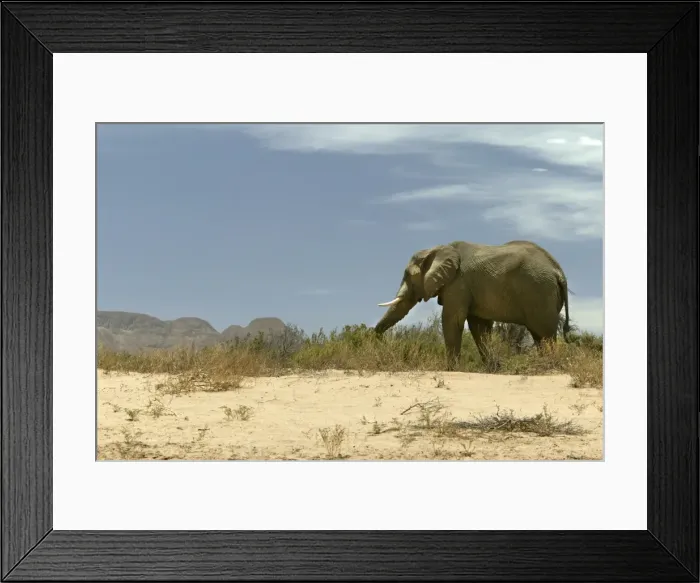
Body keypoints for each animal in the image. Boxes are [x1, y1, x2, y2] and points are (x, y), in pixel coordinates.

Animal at [373, 240, 571, 370]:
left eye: (408, 275)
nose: (381, 341)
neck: (438, 249)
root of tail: (558, 271)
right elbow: (478, 326)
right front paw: (493, 369)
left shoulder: (458, 283)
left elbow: (452, 320)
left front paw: (451, 370)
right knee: (540, 336)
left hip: (540, 291)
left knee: (545, 333)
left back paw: (551, 367)